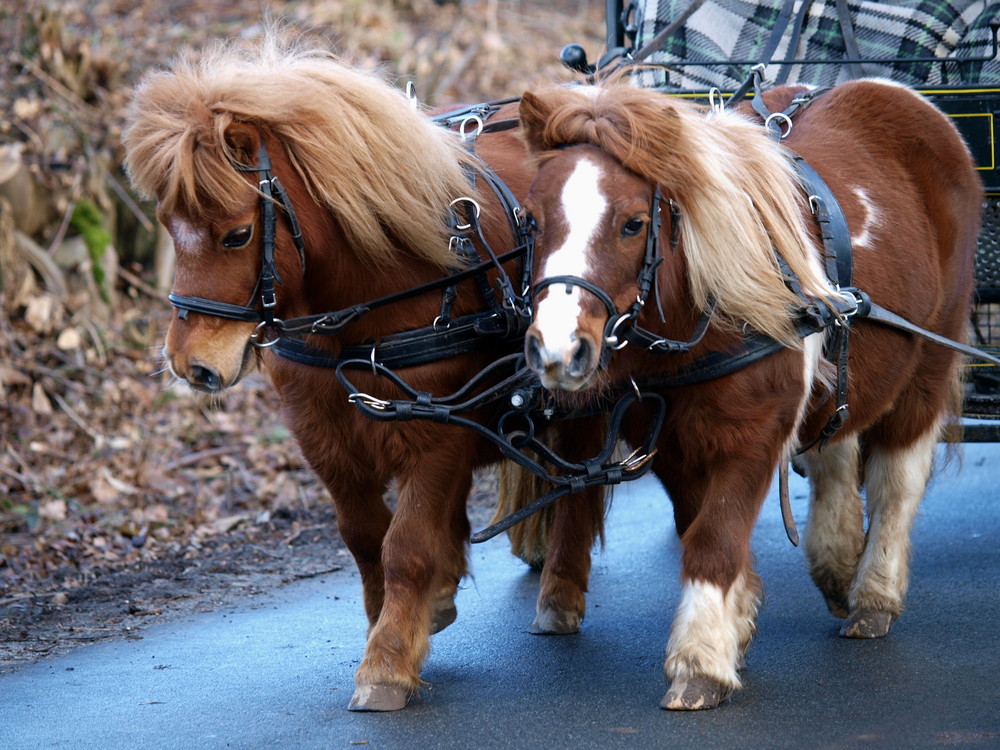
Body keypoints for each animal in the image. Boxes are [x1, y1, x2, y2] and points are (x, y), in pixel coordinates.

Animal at [122, 36, 600, 716]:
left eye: (237, 234)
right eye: (167, 225)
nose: (192, 364)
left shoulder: (437, 436)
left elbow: (407, 545)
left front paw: (388, 663)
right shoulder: (324, 435)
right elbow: (365, 537)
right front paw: (394, 622)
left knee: (580, 487)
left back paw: (559, 594)